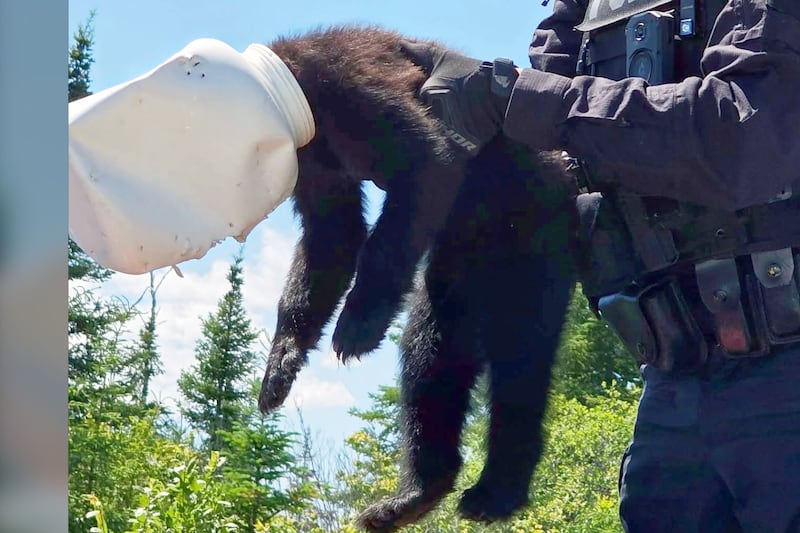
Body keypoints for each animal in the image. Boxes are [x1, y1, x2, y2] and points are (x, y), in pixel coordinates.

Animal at [256, 25, 577, 531]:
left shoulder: (353, 90)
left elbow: (429, 164)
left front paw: (357, 325)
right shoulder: (314, 163)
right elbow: (331, 237)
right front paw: (279, 368)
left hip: (534, 233)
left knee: (520, 352)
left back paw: (496, 490)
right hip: (461, 265)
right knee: (432, 350)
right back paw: (415, 495)